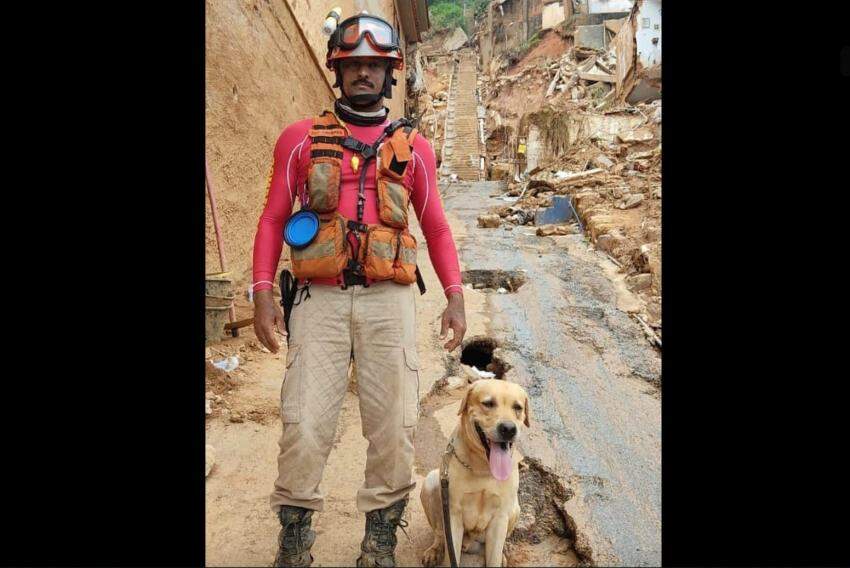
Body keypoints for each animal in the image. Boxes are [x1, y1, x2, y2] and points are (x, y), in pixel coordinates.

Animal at [420, 378, 528, 568]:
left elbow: (493, 558)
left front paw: (498, 557)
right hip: (431, 483)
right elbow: (451, 555)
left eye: (518, 407)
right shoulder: (453, 515)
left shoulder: (500, 518)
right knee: (440, 533)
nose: (508, 429)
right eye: (488, 403)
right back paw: (434, 549)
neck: (483, 468)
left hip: (515, 508)